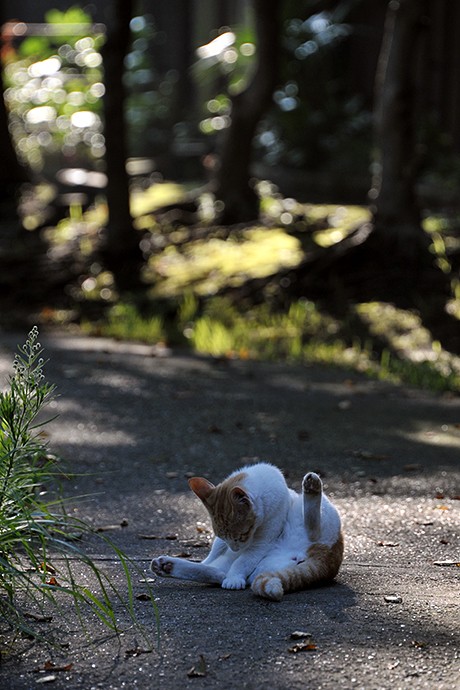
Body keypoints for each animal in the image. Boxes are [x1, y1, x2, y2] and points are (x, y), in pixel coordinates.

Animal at [149, 462, 344, 596]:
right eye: (222, 535)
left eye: (242, 535)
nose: (235, 548)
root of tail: (329, 559)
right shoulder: (224, 544)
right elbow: (217, 553)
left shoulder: (261, 542)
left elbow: (241, 561)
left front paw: (234, 579)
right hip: (260, 567)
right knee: (218, 572)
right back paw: (166, 566)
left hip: (322, 517)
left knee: (313, 528)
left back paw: (311, 487)